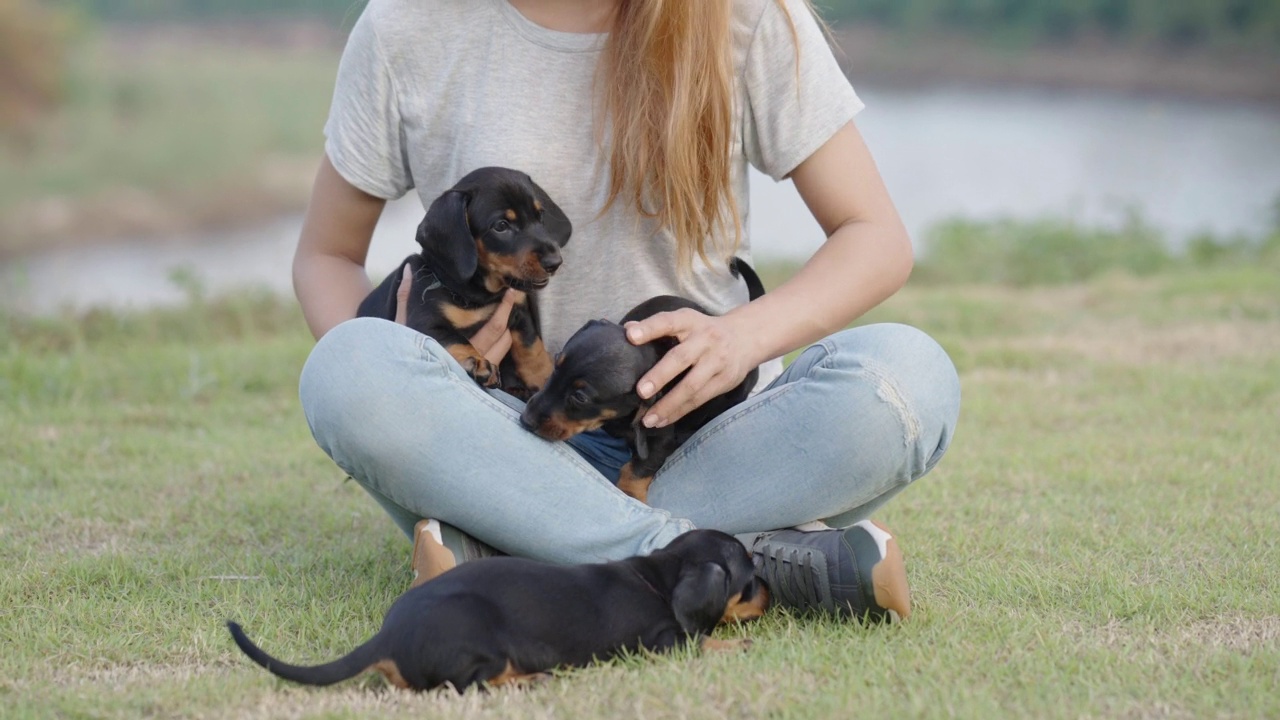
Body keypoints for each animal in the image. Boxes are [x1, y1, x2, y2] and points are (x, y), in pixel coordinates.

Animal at [227, 527, 768, 691]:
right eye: (748, 579)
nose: (769, 588)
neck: (660, 577)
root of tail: (387, 637)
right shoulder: (661, 641)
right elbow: (701, 640)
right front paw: (736, 644)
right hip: (481, 643)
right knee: (469, 685)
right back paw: (532, 678)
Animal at [358, 166, 573, 397]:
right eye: (501, 226)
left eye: (540, 216)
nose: (555, 262)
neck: (478, 296)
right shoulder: (426, 321)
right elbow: (455, 339)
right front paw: (476, 361)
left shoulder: (520, 309)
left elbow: (531, 346)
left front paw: (544, 375)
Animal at [517, 260, 757, 502]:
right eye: (557, 365)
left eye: (580, 397)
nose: (526, 420)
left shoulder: (659, 429)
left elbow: (639, 466)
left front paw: (628, 493)